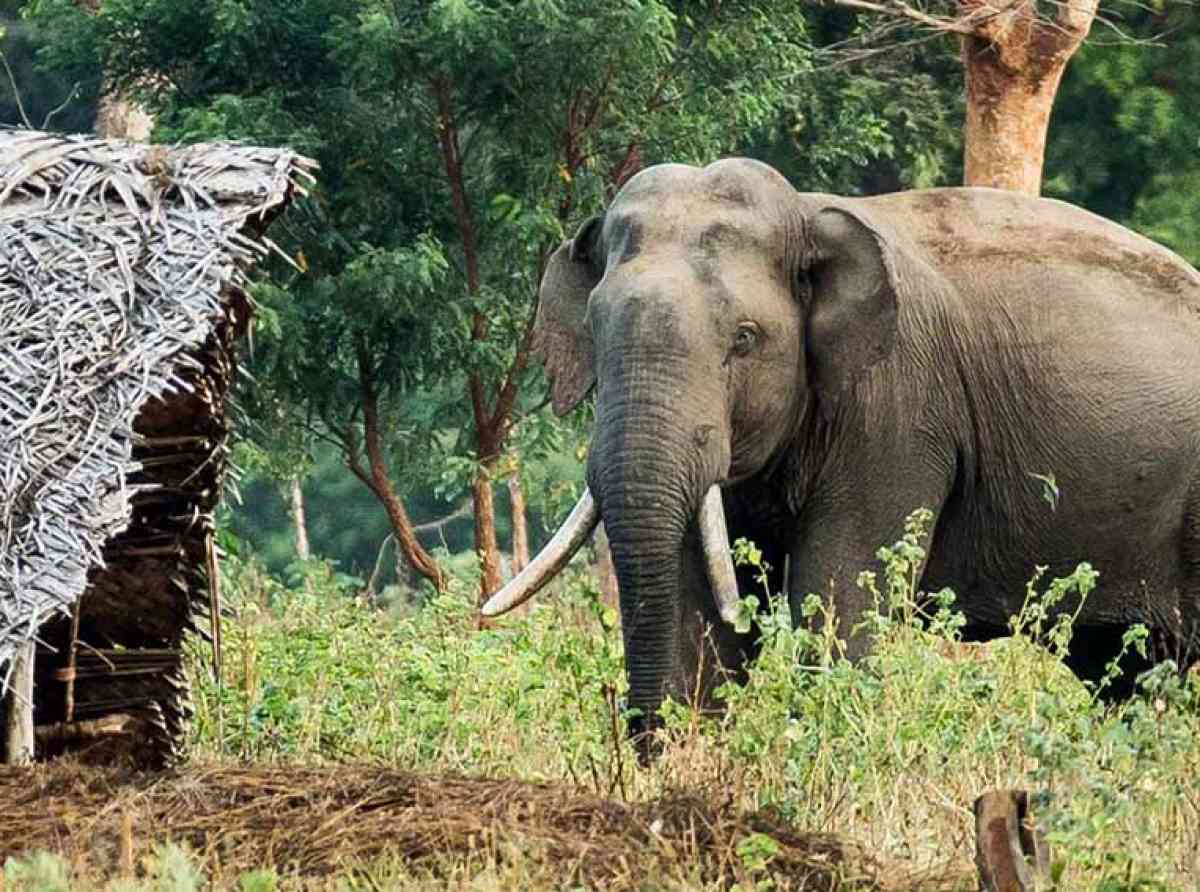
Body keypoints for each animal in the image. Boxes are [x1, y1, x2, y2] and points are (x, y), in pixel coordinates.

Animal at [482, 157, 1200, 752]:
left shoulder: (898, 407)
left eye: (744, 339)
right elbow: (700, 606)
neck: (807, 212)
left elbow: (837, 599)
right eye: (595, 327)